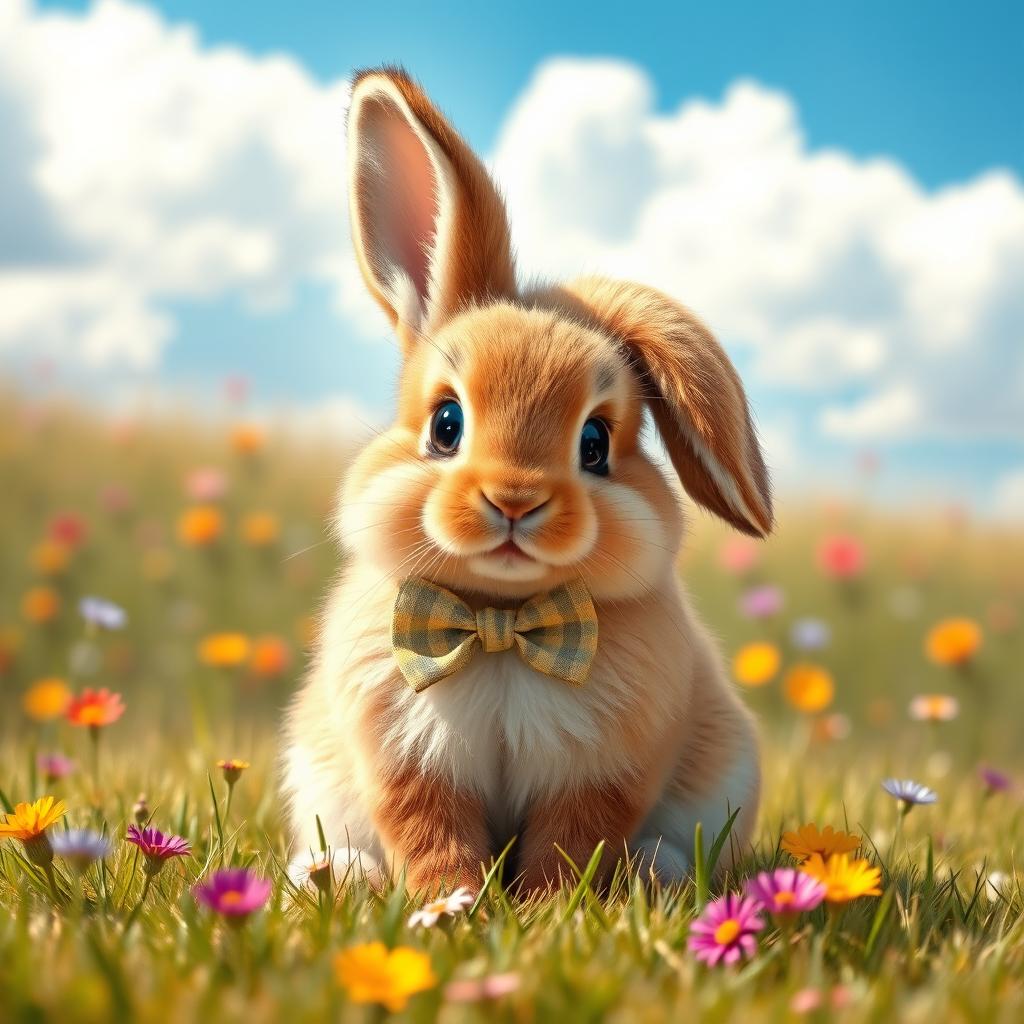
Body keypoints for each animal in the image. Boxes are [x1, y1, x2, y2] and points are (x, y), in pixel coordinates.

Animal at [281, 66, 773, 894]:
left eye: (596, 443)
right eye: (446, 424)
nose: (514, 500)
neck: (503, 623)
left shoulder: (601, 775)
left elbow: (570, 841)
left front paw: (543, 906)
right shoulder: (408, 766)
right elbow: (432, 836)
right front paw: (451, 901)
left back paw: (656, 870)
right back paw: (334, 874)